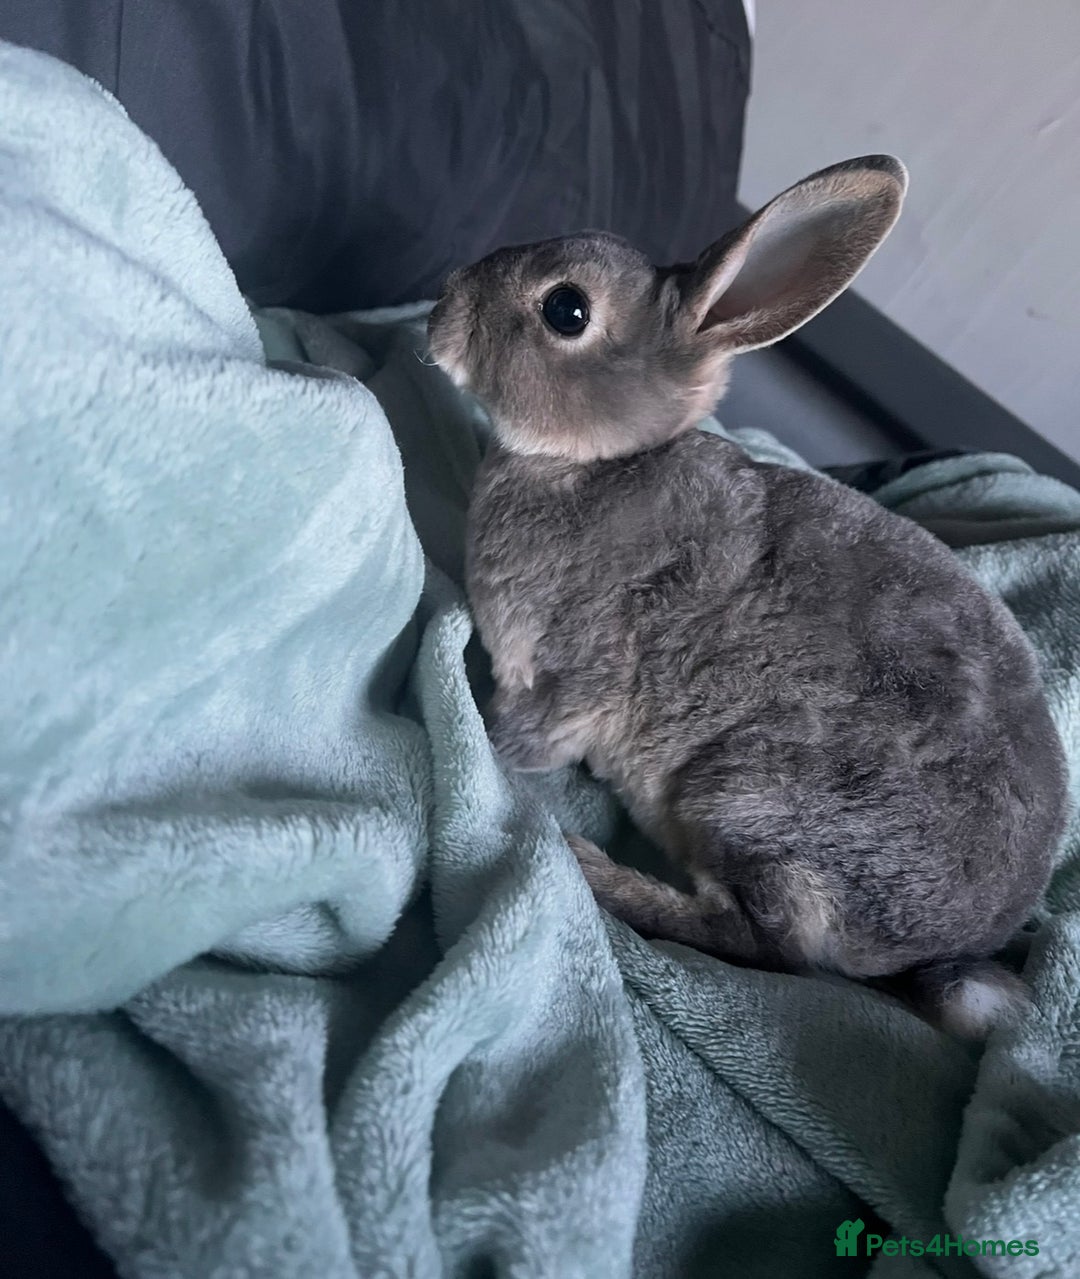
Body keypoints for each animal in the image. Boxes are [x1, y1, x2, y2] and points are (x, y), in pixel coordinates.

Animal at [426, 155, 1069, 1038]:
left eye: (566, 309)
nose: (439, 314)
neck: (593, 465)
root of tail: (945, 950)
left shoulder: (574, 675)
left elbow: (524, 736)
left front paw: (491, 754)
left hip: (747, 796)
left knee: (762, 943)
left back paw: (601, 874)